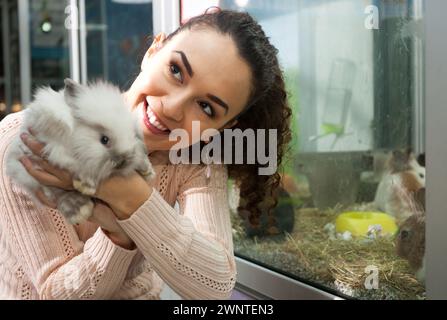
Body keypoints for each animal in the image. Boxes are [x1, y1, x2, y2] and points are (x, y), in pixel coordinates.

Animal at [4, 79, 156, 224]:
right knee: (56, 193)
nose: (123, 161)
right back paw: (78, 209)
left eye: (133, 135)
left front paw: (147, 171)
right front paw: (86, 184)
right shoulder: (54, 146)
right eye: (104, 139)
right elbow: (75, 164)